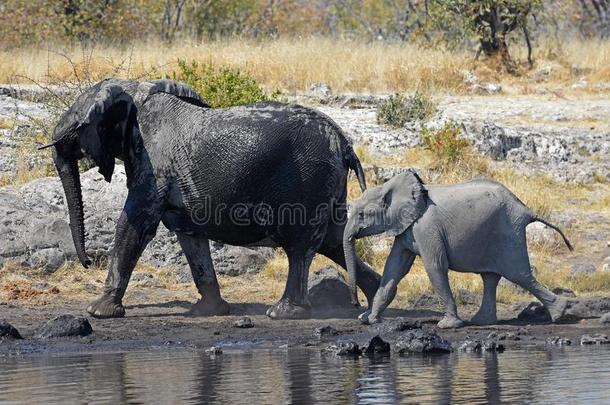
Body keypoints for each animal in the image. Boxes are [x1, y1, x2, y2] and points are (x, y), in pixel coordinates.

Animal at [40, 78, 378, 318]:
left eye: (75, 124)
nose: (86, 263)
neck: (134, 88)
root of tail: (344, 143)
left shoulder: (152, 165)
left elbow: (134, 225)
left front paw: (98, 312)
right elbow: (190, 237)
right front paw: (209, 311)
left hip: (309, 180)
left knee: (301, 246)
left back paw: (283, 313)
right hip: (325, 183)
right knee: (333, 240)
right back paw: (377, 299)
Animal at [342, 169, 568, 326]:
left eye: (361, 214)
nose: (355, 304)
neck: (391, 186)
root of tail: (525, 209)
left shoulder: (426, 226)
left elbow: (434, 267)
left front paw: (447, 325)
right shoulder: (407, 228)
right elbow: (394, 268)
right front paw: (369, 319)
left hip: (508, 232)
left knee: (518, 274)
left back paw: (559, 313)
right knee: (491, 277)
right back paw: (481, 321)